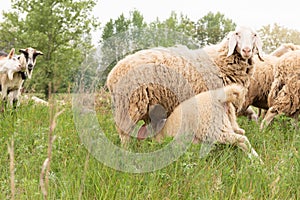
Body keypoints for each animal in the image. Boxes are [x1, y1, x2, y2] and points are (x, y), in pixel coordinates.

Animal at [106, 25, 264, 145]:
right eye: (237, 34)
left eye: (254, 35)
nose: (246, 50)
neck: (221, 61)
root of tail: (113, 72)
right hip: (130, 105)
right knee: (124, 133)